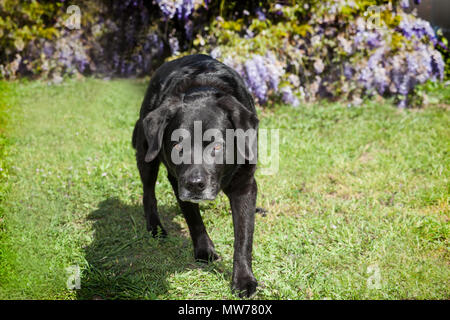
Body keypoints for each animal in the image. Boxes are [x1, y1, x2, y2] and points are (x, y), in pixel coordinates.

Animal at [133, 53, 260, 296]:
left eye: (217, 146)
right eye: (177, 146)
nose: (195, 184)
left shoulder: (245, 184)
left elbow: (243, 236)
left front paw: (243, 280)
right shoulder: (177, 181)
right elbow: (193, 218)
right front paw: (204, 250)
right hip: (147, 151)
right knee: (148, 192)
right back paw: (155, 227)